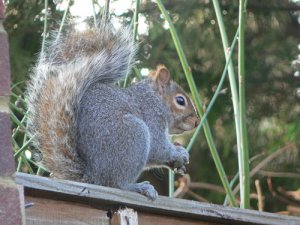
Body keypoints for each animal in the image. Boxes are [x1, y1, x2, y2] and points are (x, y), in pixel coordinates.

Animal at [25, 22, 199, 200]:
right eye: (180, 100)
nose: (197, 121)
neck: (155, 99)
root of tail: (93, 176)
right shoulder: (152, 117)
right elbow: (157, 149)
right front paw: (179, 153)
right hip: (134, 136)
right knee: (116, 184)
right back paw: (138, 187)